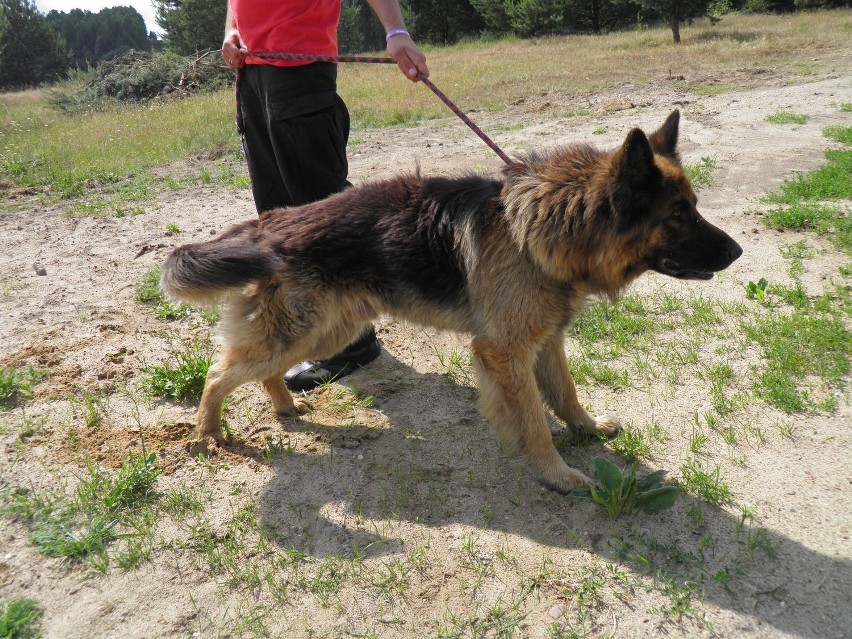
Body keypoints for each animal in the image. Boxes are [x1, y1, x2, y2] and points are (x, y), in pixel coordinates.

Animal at [163, 111, 744, 490]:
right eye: (678, 215)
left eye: (694, 206)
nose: (739, 251)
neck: (541, 228)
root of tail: (270, 222)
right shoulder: (505, 353)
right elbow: (535, 423)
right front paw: (556, 474)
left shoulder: (546, 339)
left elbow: (566, 394)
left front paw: (588, 429)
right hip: (307, 329)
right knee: (218, 374)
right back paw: (209, 432)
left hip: (330, 329)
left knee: (260, 370)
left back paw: (284, 407)